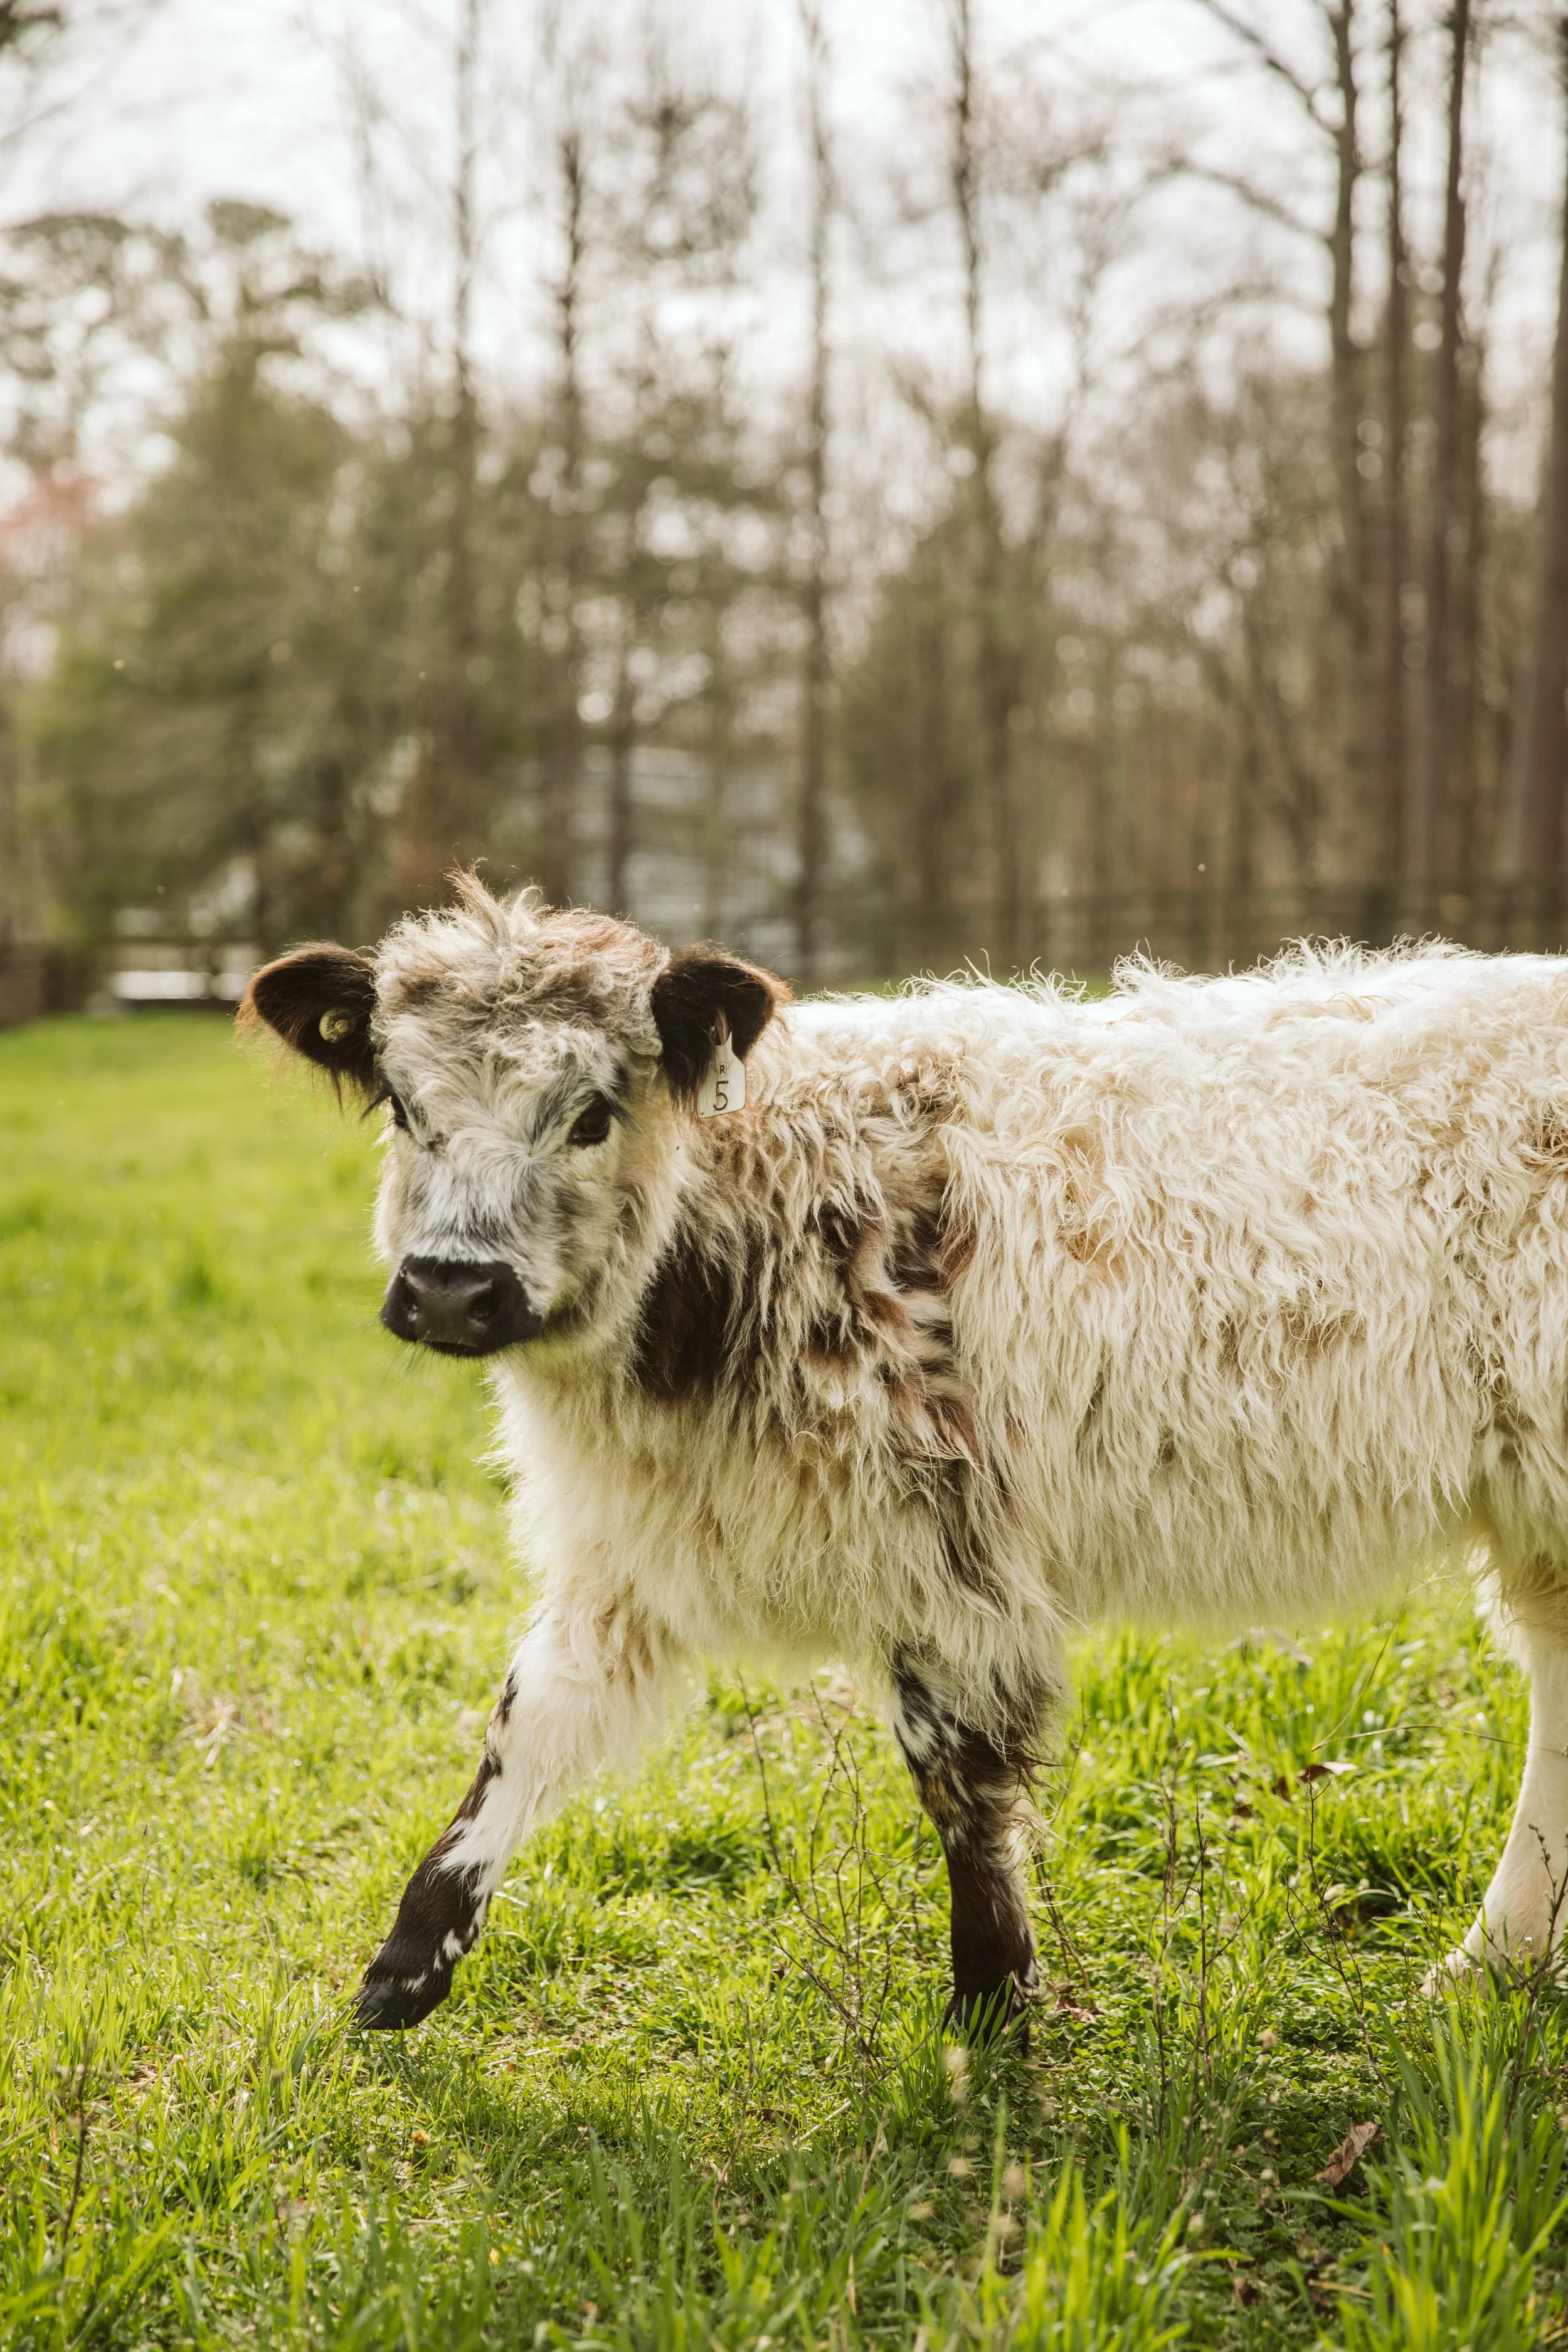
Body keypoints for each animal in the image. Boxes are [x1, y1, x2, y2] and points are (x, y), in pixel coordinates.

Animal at [242, 880, 1568, 2038]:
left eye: (590, 1114)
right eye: (404, 1105)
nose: (452, 1289)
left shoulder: (947, 1545)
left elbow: (956, 1776)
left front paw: (989, 2012)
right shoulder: (628, 1547)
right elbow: (527, 1723)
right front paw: (402, 1972)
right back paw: (1494, 1968)